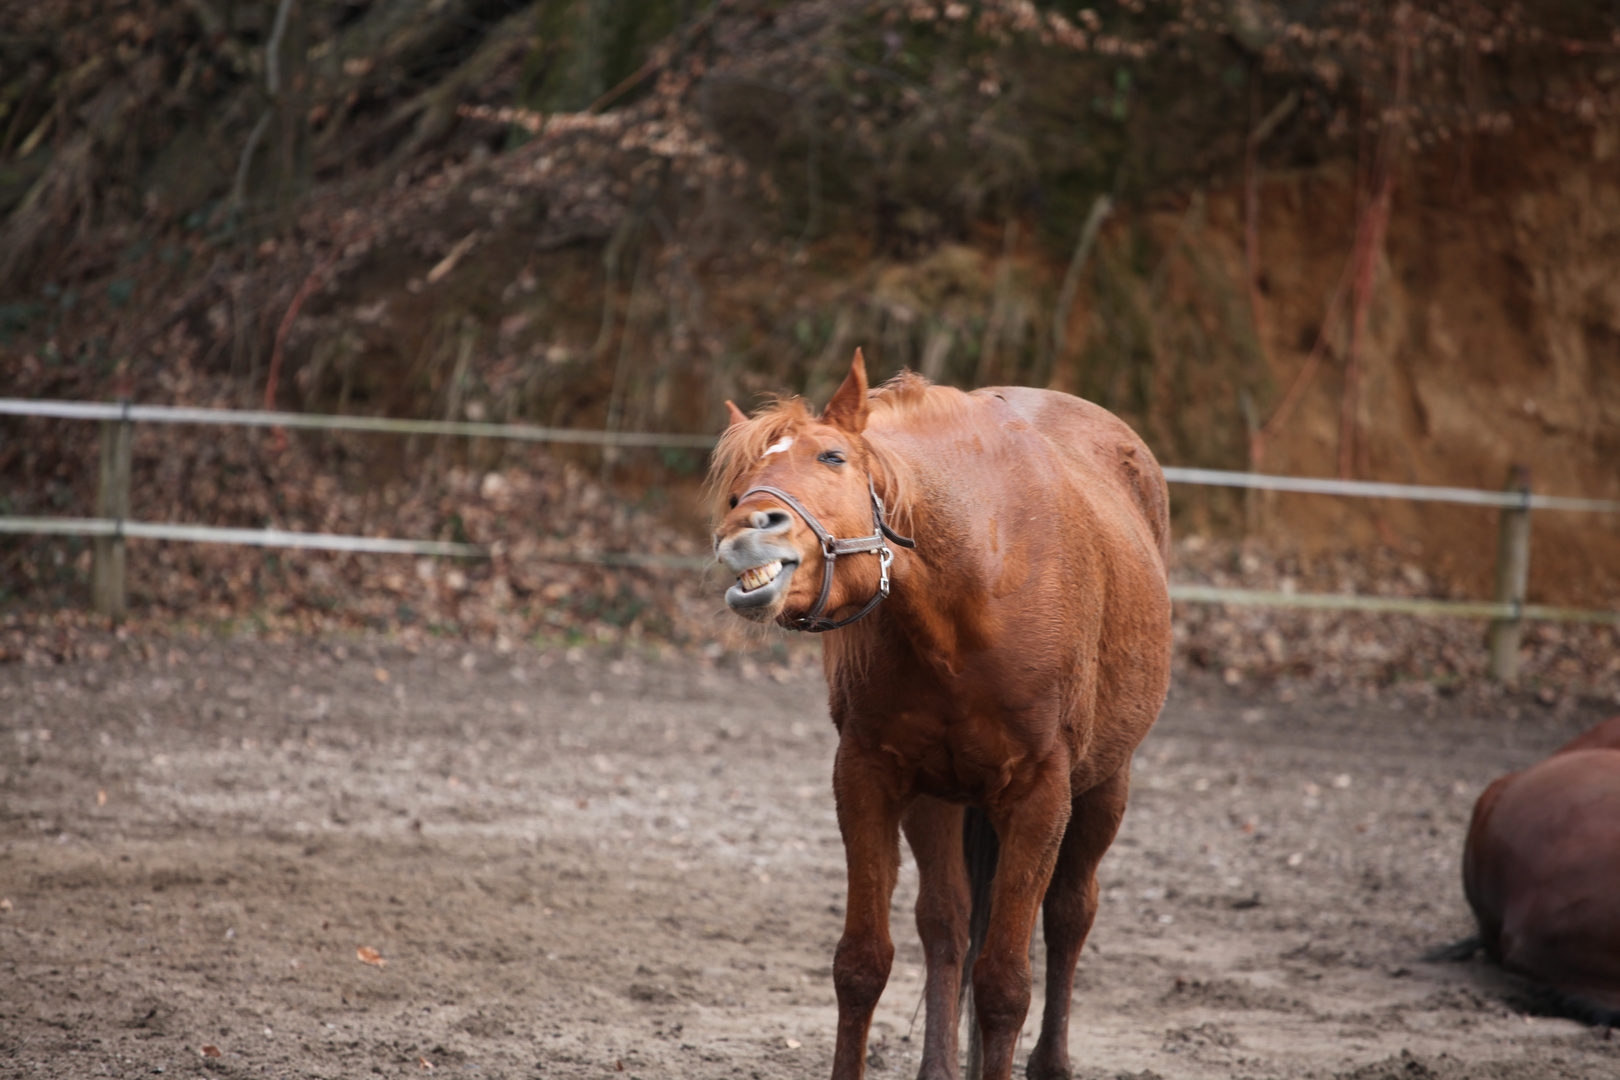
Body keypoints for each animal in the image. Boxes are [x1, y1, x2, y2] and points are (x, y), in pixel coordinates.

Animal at [706, 354, 1166, 1080]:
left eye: (833, 456)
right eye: (736, 486)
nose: (745, 533)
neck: (971, 583)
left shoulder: (1042, 797)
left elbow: (1006, 984)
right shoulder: (868, 778)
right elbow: (863, 964)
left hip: (1105, 785)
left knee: (1069, 915)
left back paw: (1051, 1060)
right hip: (940, 798)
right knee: (947, 926)